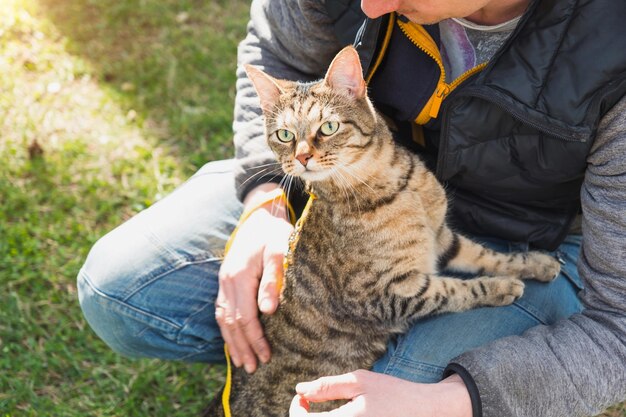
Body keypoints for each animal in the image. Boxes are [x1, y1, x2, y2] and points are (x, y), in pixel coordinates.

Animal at [202, 46, 560, 416]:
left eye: (328, 127)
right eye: (284, 135)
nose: (301, 157)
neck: (397, 187)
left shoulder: (441, 237)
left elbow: (486, 254)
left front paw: (536, 263)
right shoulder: (386, 294)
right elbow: (453, 290)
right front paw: (502, 287)